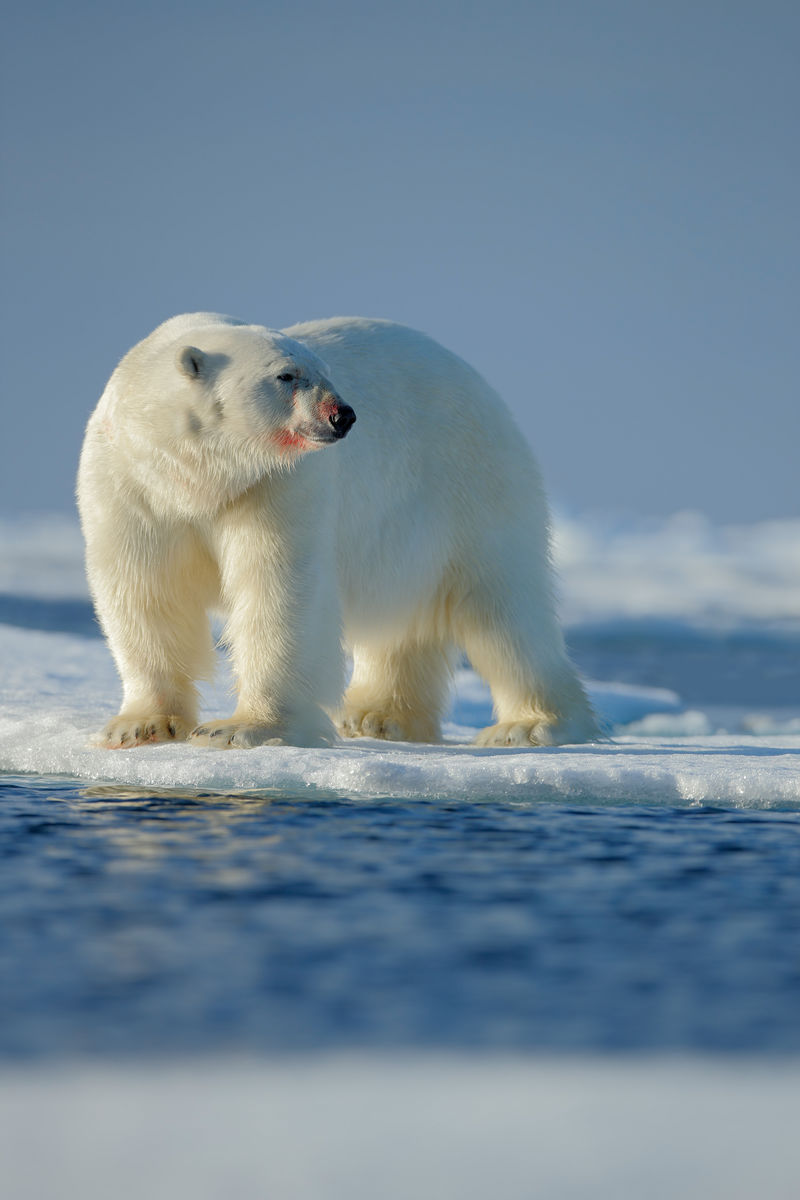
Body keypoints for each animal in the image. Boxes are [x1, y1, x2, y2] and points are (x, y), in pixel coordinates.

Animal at [77, 319, 597, 748]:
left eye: (326, 371)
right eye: (286, 375)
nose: (342, 415)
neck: (199, 476)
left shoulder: (275, 486)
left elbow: (278, 589)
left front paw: (244, 729)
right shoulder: (132, 485)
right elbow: (144, 589)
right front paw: (140, 726)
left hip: (472, 483)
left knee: (503, 610)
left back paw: (530, 725)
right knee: (405, 620)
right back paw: (377, 716)